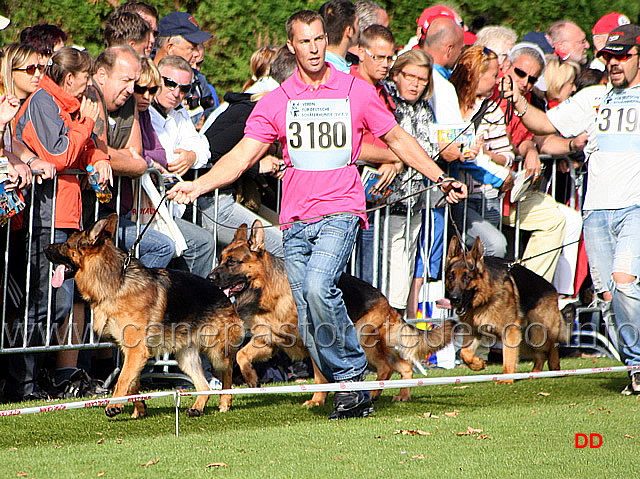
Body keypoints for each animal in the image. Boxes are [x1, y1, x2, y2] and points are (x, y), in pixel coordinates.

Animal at [42, 216, 242, 418]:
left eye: (67, 244)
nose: (45, 247)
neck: (115, 283)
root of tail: (222, 293)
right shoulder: (130, 352)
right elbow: (132, 382)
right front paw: (138, 409)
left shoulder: (136, 351)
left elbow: (123, 379)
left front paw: (114, 406)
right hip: (186, 356)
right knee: (204, 387)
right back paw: (197, 407)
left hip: (216, 351)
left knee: (228, 370)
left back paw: (225, 402)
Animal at [210, 221, 456, 404]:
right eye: (220, 259)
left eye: (232, 262)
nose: (210, 278)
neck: (268, 289)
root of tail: (386, 302)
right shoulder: (268, 340)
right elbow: (241, 356)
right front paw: (252, 379)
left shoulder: (313, 342)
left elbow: (320, 376)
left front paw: (317, 400)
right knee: (404, 366)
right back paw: (399, 394)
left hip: (363, 343)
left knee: (387, 368)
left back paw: (373, 393)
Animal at [444, 234, 568, 380]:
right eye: (450, 277)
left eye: (467, 277)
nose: (454, 299)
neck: (486, 297)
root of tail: (552, 288)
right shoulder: (474, 330)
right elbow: (464, 353)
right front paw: (477, 364)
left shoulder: (509, 330)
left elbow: (508, 358)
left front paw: (505, 380)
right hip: (525, 341)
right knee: (541, 355)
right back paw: (534, 374)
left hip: (538, 334)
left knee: (553, 344)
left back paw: (555, 367)